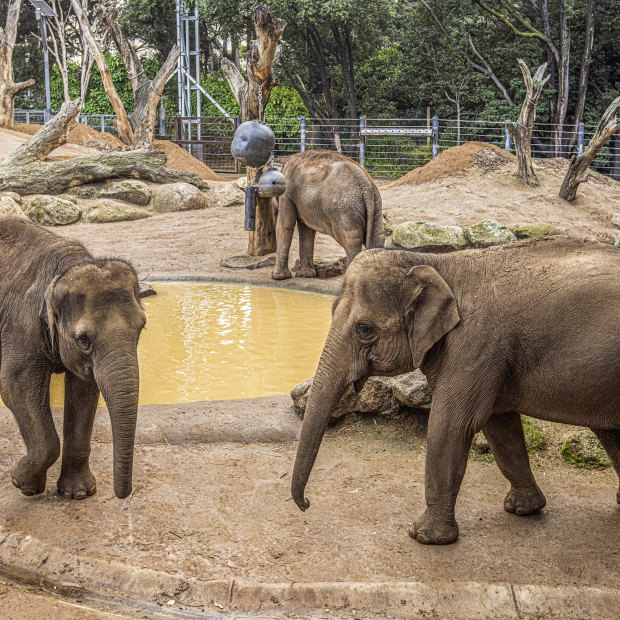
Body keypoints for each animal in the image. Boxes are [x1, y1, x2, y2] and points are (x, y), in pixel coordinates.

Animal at [0, 217, 146, 498]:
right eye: (84, 340)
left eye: (141, 327)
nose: (124, 494)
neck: (62, 269)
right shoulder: (19, 327)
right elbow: (15, 386)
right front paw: (23, 484)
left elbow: (83, 392)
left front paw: (78, 493)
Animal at [272, 149, 382, 280]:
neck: (284, 159)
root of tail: (365, 183)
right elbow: (306, 229)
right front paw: (306, 275)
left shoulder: (287, 193)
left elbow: (285, 226)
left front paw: (278, 277)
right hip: (375, 206)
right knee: (377, 238)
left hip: (346, 210)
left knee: (351, 242)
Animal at [290, 235, 620, 544]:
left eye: (364, 330)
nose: (306, 504)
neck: (439, 264)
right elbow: (500, 426)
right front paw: (522, 508)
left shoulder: (475, 346)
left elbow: (453, 424)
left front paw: (424, 537)